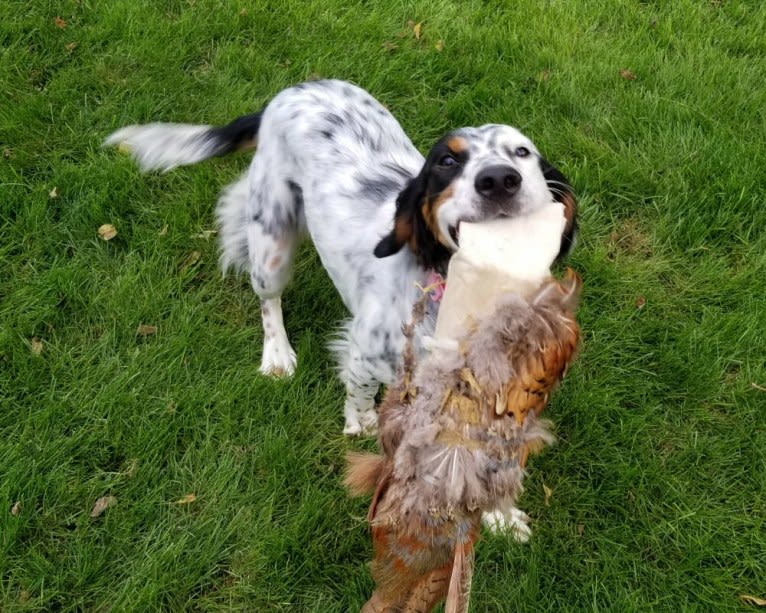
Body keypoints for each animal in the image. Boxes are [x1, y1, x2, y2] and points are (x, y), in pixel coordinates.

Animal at [105, 79, 580, 440]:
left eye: (522, 152)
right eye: (447, 160)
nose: (498, 179)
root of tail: (289, 93)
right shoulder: (366, 350)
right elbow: (361, 388)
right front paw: (361, 421)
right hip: (272, 246)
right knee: (268, 301)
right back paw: (277, 353)